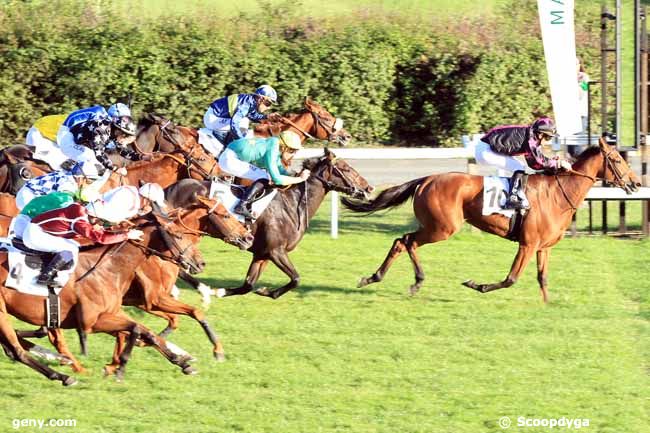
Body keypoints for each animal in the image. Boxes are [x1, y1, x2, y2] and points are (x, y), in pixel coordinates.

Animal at [0, 211, 208, 384]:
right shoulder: (91, 323)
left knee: (16, 347)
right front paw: (119, 368)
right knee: (17, 350)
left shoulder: (114, 312)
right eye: (178, 234)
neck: (108, 268)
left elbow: (144, 331)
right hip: (2, 314)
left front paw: (182, 362)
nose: (200, 263)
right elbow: (135, 329)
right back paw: (64, 375)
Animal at [342, 140, 640, 302]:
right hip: (442, 228)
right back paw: (410, 281)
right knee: (406, 241)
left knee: (402, 242)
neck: (557, 193)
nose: (636, 183)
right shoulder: (527, 244)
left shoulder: (543, 247)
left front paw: (548, 305)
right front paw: (477, 285)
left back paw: (380, 278)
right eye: (616, 159)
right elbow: (511, 278)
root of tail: (426, 179)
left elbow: (542, 278)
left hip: (436, 226)